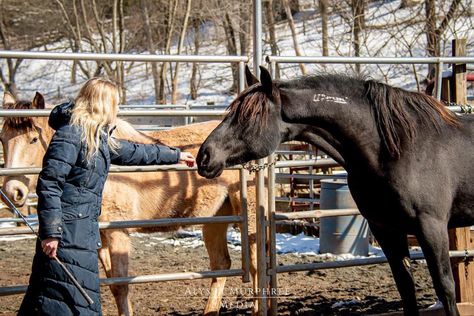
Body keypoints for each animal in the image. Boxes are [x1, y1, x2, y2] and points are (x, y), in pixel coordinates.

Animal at [197, 65, 474, 314]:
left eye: (249, 115)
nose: (204, 156)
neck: (396, 149)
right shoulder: (385, 229)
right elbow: (406, 289)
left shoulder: (431, 227)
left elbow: (445, 289)